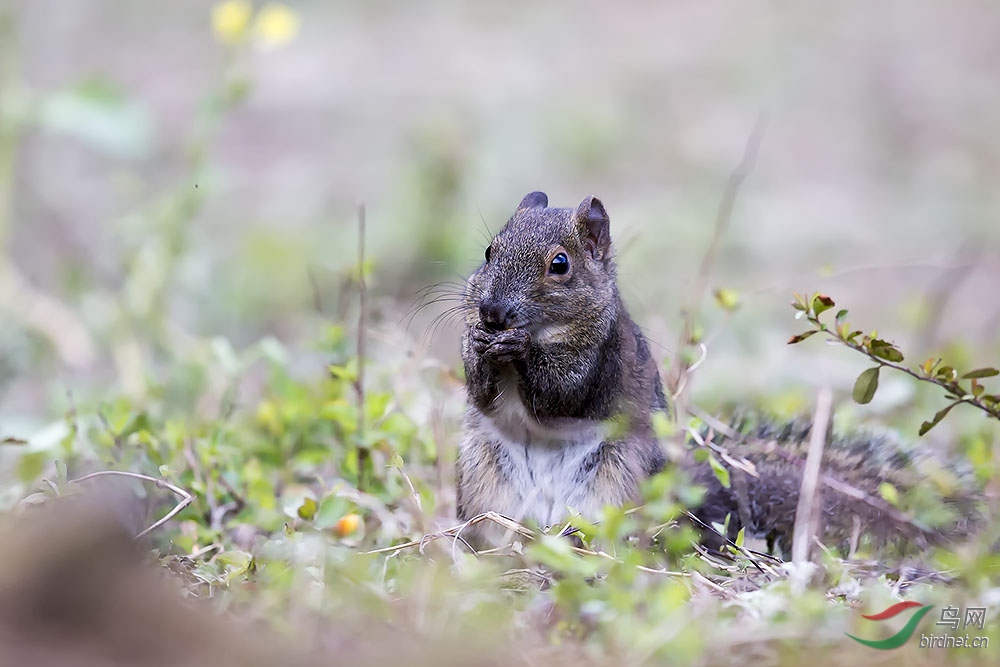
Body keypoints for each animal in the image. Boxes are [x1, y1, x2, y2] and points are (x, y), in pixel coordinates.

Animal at [458, 190, 984, 556]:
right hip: (486, 484)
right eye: (488, 252)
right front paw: (480, 347)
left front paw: (519, 348)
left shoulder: (602, 357)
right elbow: (482, 393)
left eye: (560, 265)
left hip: (616, 484)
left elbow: (562, 394)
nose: (492, 312)